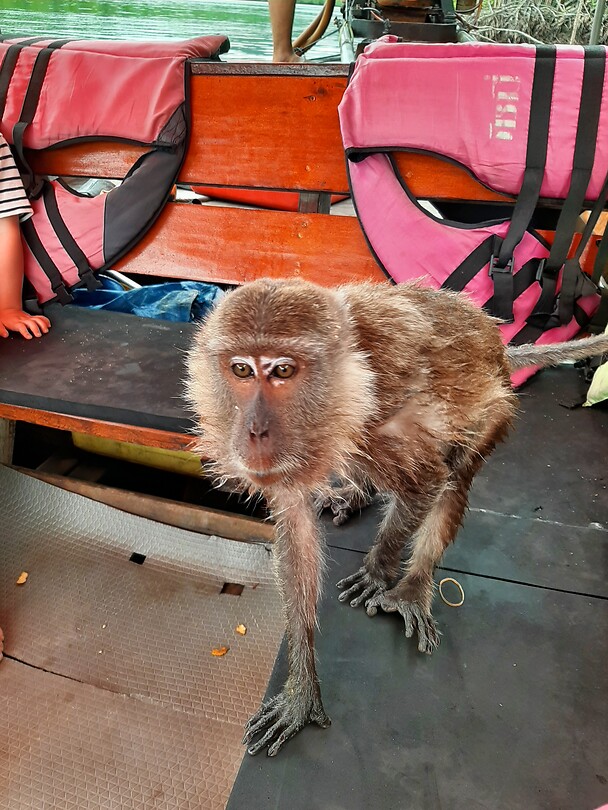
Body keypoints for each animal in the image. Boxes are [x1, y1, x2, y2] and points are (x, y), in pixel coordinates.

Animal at [184, 277, 608, 758]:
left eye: (282, 372)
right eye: (240, 370)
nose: (255, 431)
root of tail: (493, 340)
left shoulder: (378, 414)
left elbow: (428, 481)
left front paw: (378, 571)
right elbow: (296, 525)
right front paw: (301, 686)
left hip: (494, 405)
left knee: (454, 476)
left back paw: (411, 588)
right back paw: (358, 493)